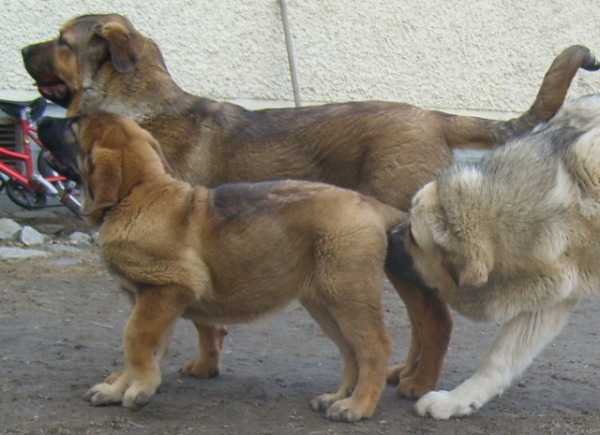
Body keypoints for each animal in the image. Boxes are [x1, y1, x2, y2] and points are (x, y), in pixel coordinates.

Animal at [38, 111, 408, 422]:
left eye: (72, 127)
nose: (39, 119)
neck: (137, 193)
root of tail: (373, 205)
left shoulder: (166, 289)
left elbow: (134, 338)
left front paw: (139, 389)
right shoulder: (153, 300)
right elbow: (142, 347)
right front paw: (120, 389)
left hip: (347, 294)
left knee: (375, 347)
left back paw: (357, 406)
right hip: (323, 302)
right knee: (350, 350)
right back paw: (338, 397)